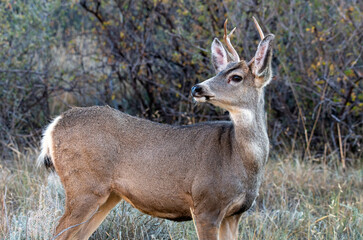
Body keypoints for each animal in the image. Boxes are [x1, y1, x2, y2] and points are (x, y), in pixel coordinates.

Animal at [38, 17, 274, 240]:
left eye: (236, 77)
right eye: (218, 72)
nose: (197, 88)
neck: (238, 157)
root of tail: (54, 125)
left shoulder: (234, 214)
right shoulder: (206, 204)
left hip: (107, 195)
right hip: (84, 186)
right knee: (59, 231)